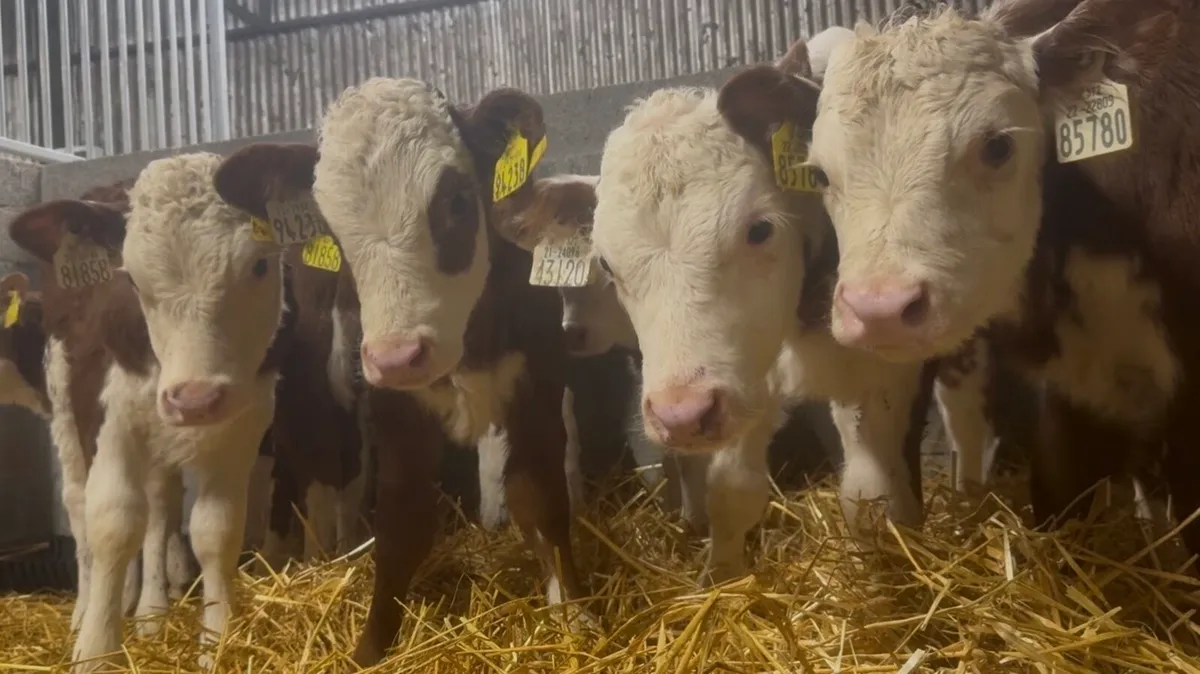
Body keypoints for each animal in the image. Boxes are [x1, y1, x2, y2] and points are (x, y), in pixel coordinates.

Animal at [10, 154, 292, 672]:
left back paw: (149, 610)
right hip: (66, 408)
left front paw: (215, 642)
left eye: (260, 264)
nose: (195, 398)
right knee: (79, 506)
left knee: (160, 506)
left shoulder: (244, 423)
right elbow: (112, 521)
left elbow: (215, 529)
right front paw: (95, 649)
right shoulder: (110, 418)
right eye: (132, 279)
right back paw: (89, 608)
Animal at [212, 77, 585, 665]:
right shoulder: (397, 415)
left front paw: (573, 615)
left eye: (457, 202)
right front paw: (370, 650)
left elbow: (542, 501)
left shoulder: (538, 392)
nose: (397, 355)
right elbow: (400, 526)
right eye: (333, 230)